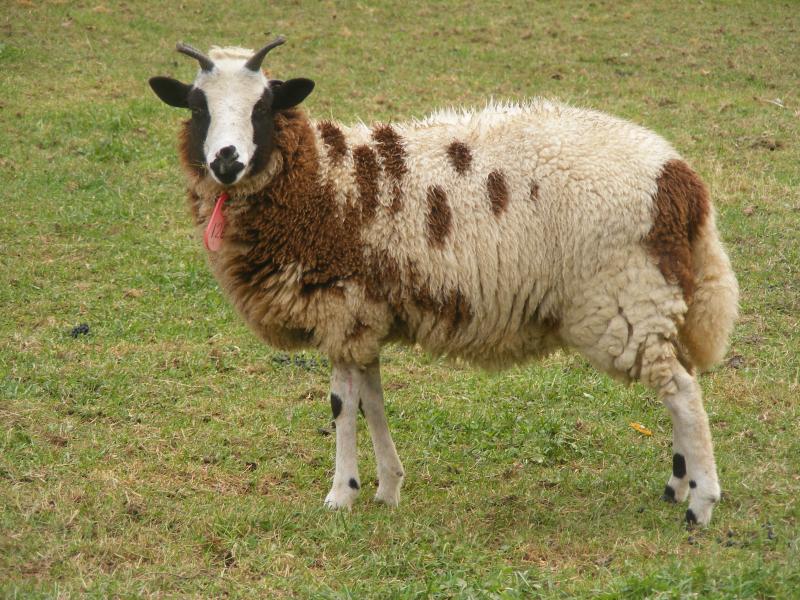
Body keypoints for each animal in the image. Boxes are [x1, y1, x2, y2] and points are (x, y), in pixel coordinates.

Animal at [149, 37, 739, 526]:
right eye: (197, 107)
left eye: (263, 106)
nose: (226, 161)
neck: (320, 182)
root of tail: (678, 177)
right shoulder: (364, 315)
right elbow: (372, 400)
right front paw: (388, 487)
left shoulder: (341, 307)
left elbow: (341, 405)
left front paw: (341, 494)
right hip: (646, 295)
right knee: (680, 379)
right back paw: (677, 485)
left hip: (621, 296)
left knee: (682, 391)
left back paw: (702, 504)